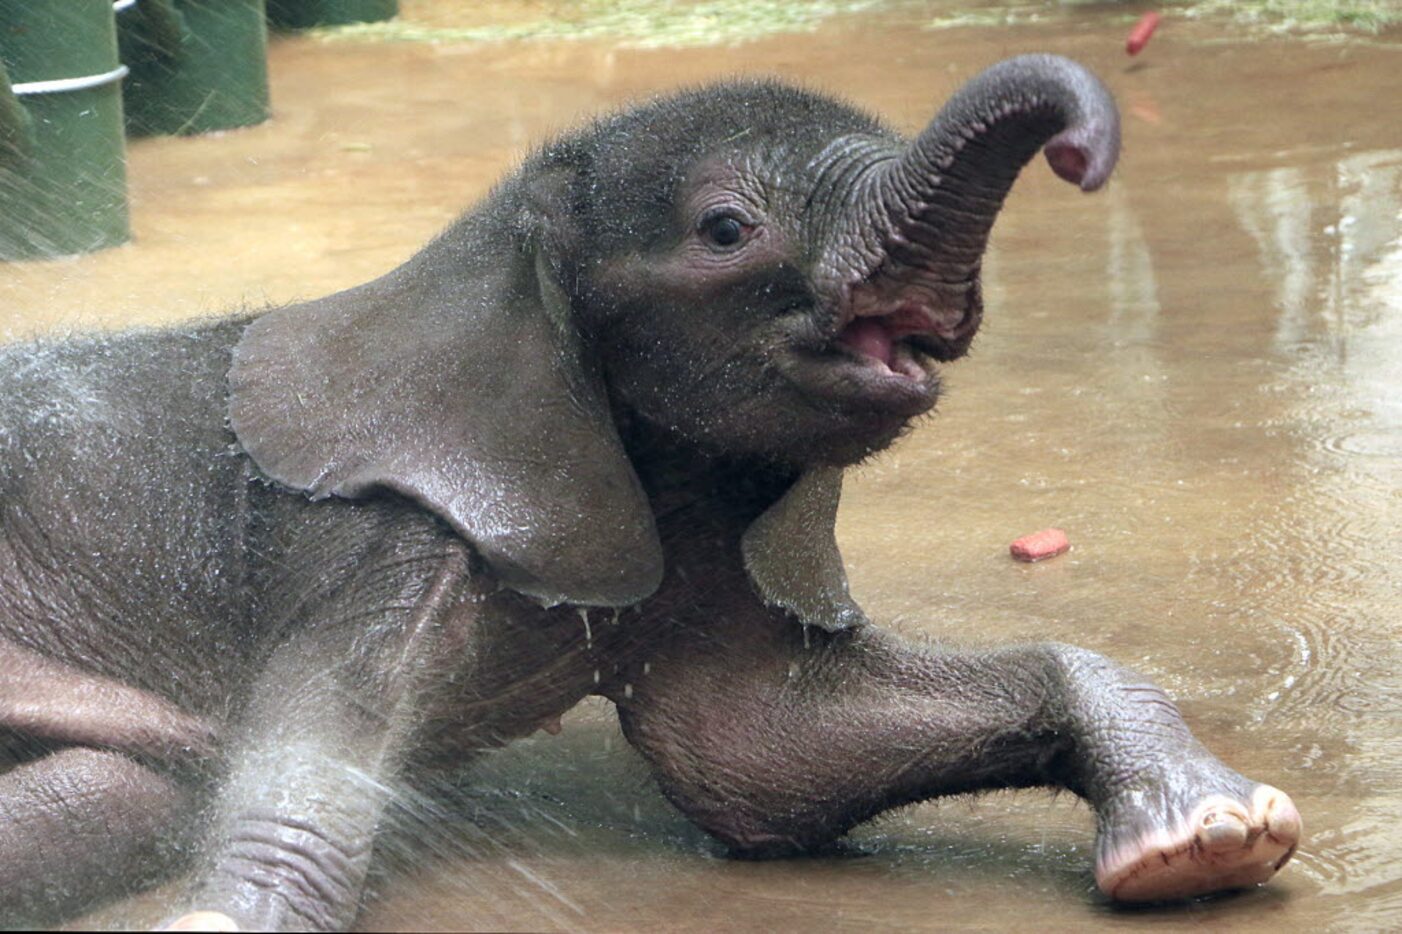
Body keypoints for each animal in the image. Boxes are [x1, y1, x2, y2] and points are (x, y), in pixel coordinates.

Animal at [0, 56, 1295, 925]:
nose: (1081, 151)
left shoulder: (699, 532)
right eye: (726, 229)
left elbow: (763, 757)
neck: (505, 225)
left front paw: (1213, 844)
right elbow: (318, 735)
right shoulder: (382, 529)